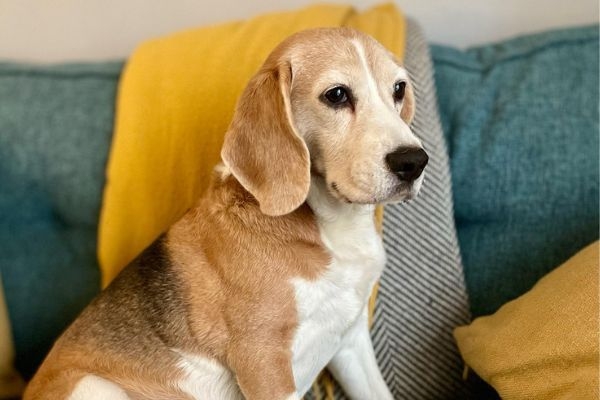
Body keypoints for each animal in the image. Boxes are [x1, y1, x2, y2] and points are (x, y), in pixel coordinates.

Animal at [23, 26, 426, 398]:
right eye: (337, 94)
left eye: (398, 89)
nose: (414, 162)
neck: (331, 229)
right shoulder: (261, 359)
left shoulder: (350, 339)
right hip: (96, 386)